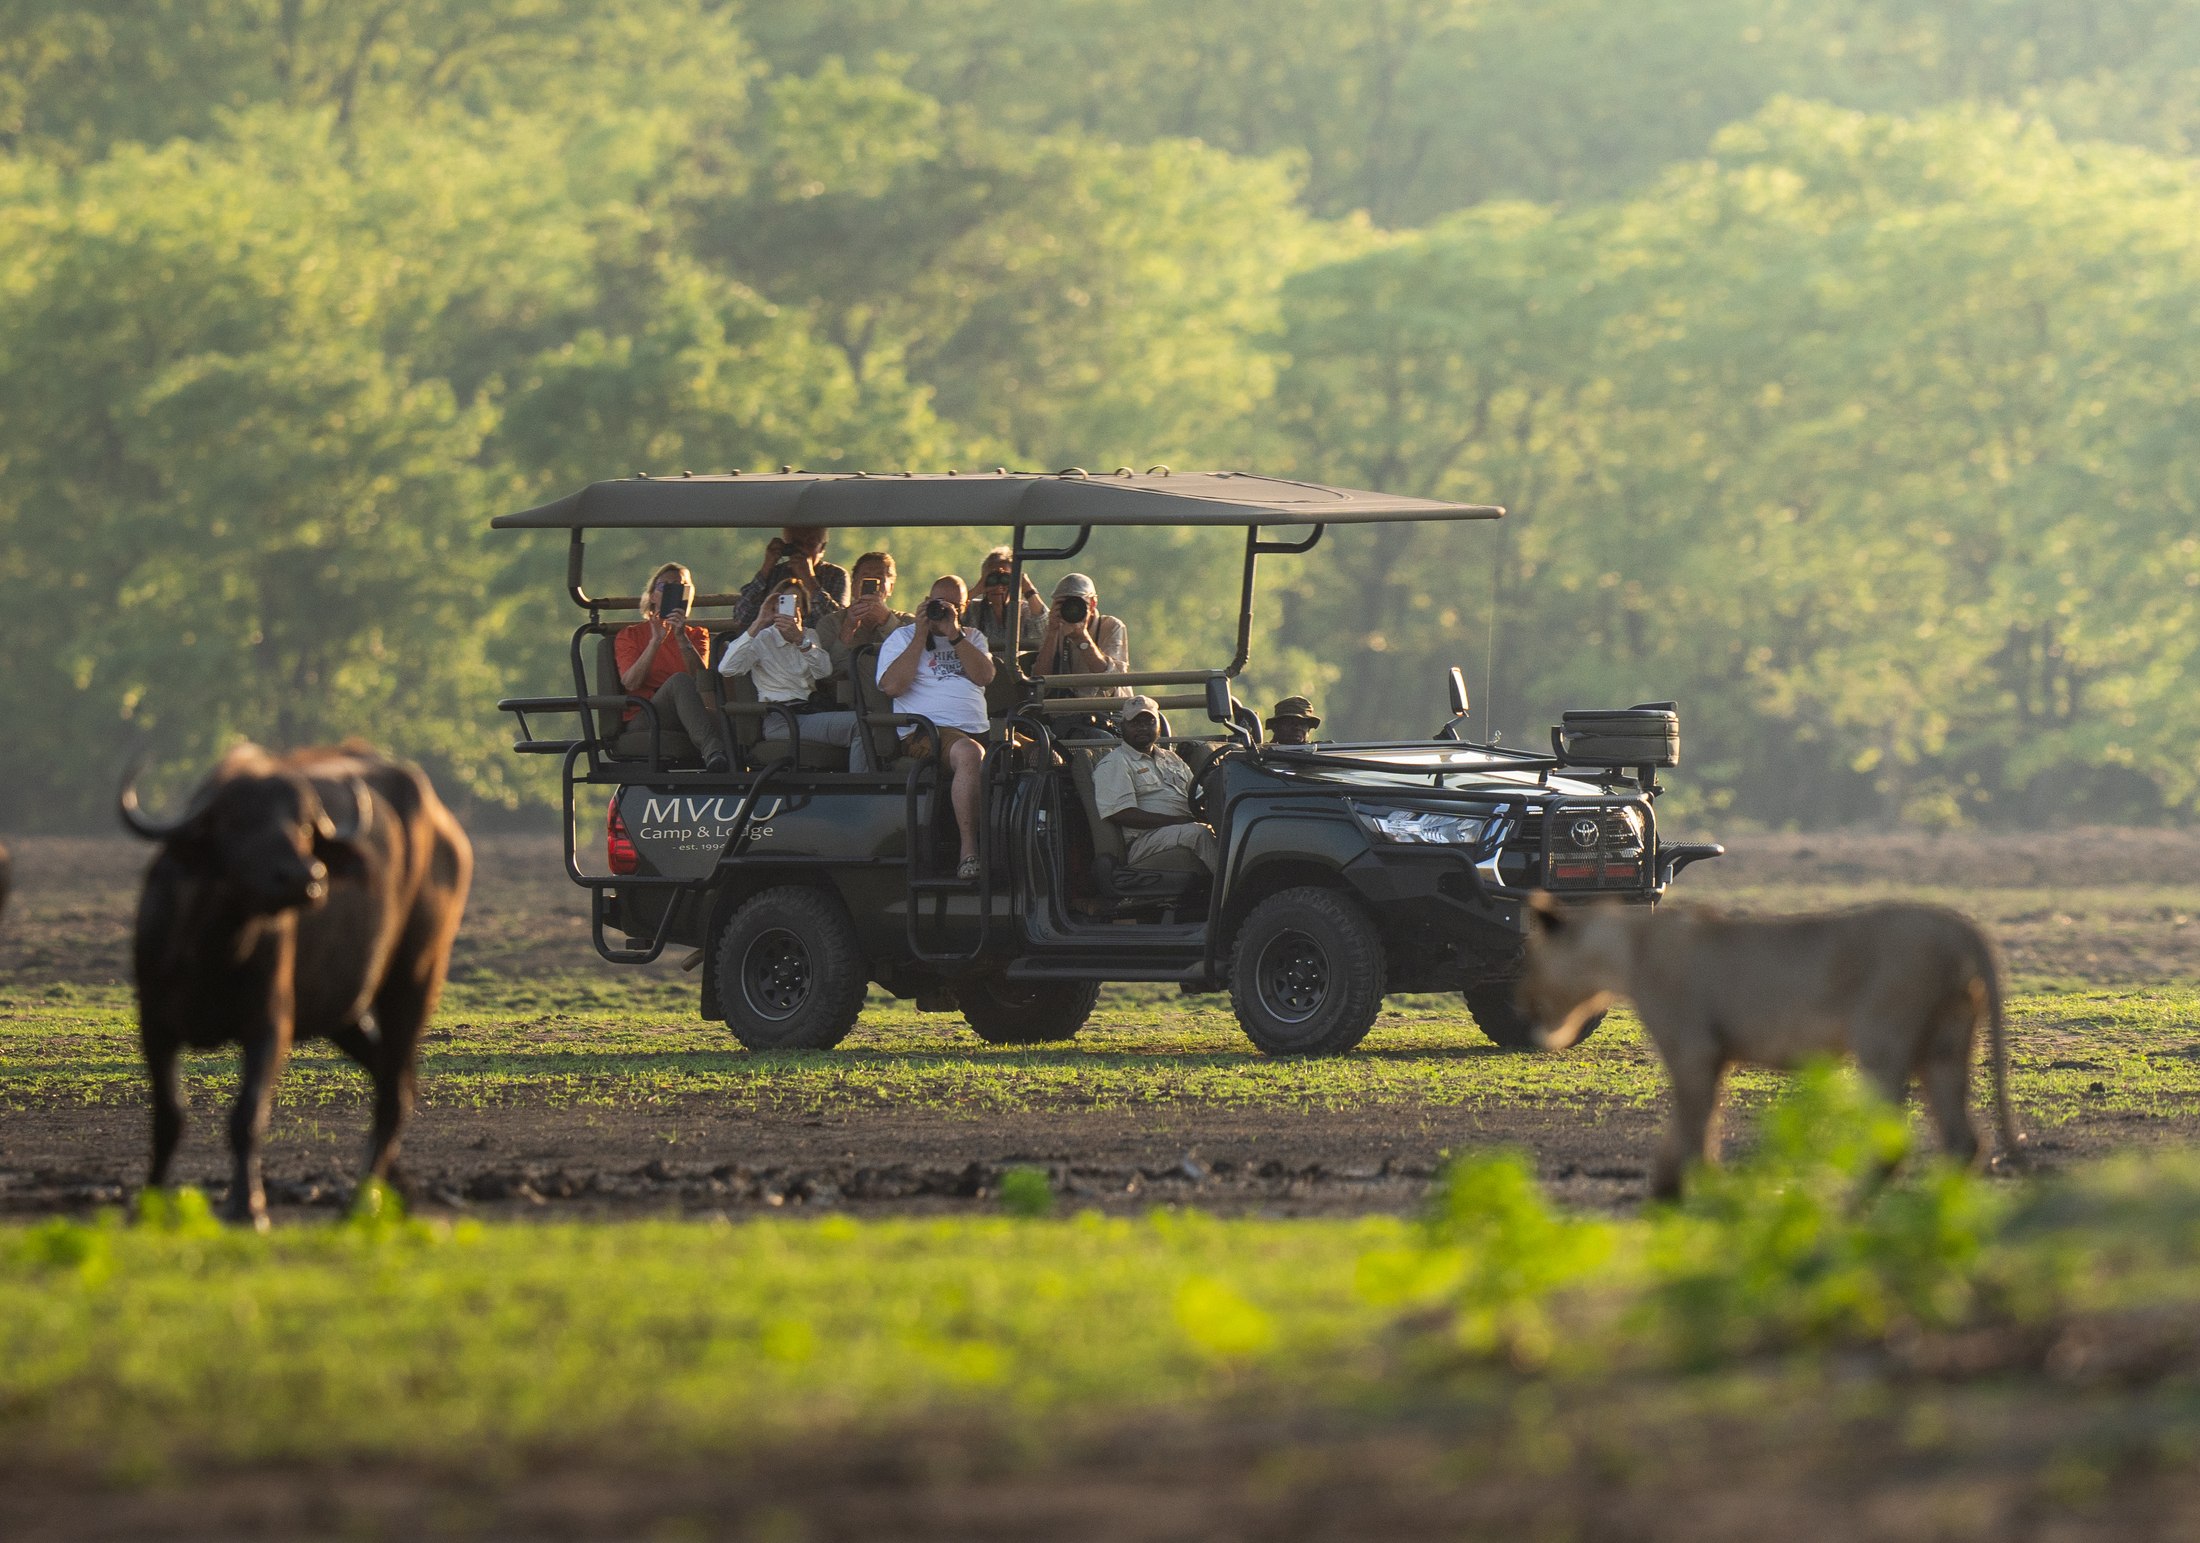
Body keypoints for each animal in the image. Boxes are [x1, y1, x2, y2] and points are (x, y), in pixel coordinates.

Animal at [120, 743, 471, 1228]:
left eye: (304, 824)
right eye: (238, 820)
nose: (306, 877)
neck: (213, 947)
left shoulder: (269, 1025)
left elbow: (247, 1116)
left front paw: (247, 1206)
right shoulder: (154, 1024)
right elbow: (168, 1119)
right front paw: (146, 1205)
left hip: (416, 975)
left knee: (391, 1093)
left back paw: (360, 1201)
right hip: (340, 1010)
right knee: (393, 1077)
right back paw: (394, 1186)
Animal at [1519, 896, 2021, 1199]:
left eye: (1531, 960)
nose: (1520, 1004)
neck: (1627, 950)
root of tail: (1956, 926)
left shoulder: (1693, 1047)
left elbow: (1691, 1122)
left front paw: (1678, 1190)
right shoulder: (1714, 1054)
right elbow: (1701, 1121)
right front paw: (1686, 1185)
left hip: (1883, 1038)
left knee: (1894, 1139)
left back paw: (1848, 1203)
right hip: (1946, 1044)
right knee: (1963, 1139)